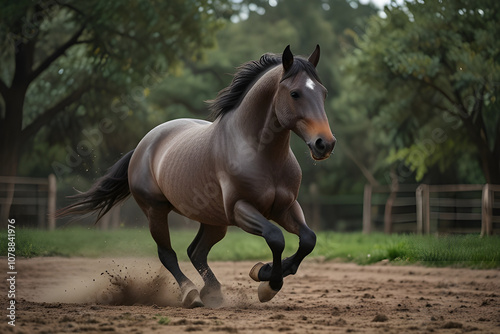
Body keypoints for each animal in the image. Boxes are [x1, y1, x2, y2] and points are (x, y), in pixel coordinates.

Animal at [58, 44, 336, 308]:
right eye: (295, 93)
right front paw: (268, 284)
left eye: (323, 92)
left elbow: (308, 239)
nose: (325, 144)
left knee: (196, 252)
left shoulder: (285, 207)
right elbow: (276, 238)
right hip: (156, 211)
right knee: (168, 254)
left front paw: (263, 272)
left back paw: (213, 292)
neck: (261, 153)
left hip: (214, 221)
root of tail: (142, 145)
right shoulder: (241, 209)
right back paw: (191, 294)